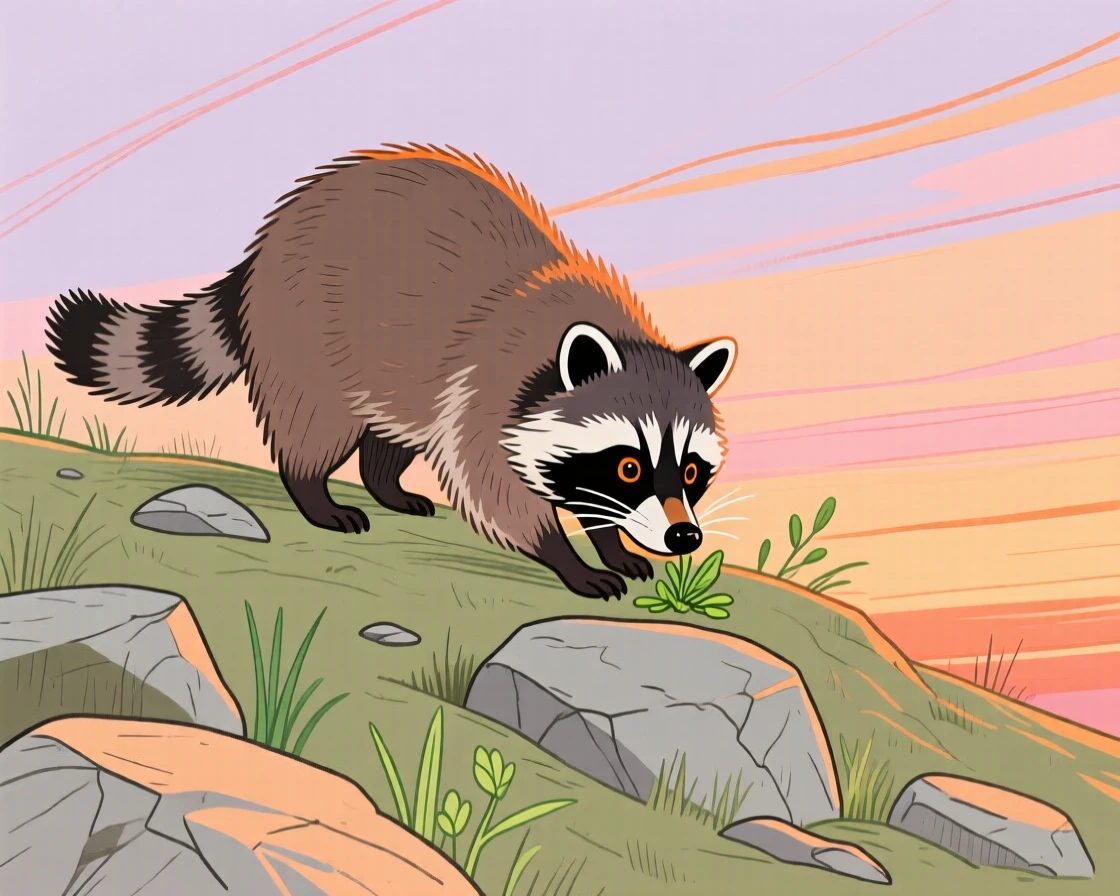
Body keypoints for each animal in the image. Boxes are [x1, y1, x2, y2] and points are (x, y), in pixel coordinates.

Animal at [46, 144, 737, 600]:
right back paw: (313, 492)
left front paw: (611, 539)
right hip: (310, 331)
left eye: (692, 472)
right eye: (629, 466)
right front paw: (568, 557)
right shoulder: (489, 386)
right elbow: (493, 486)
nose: (684, 538)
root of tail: (263, 247)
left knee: (393, 429)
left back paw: (386, 482)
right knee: (315, 424)